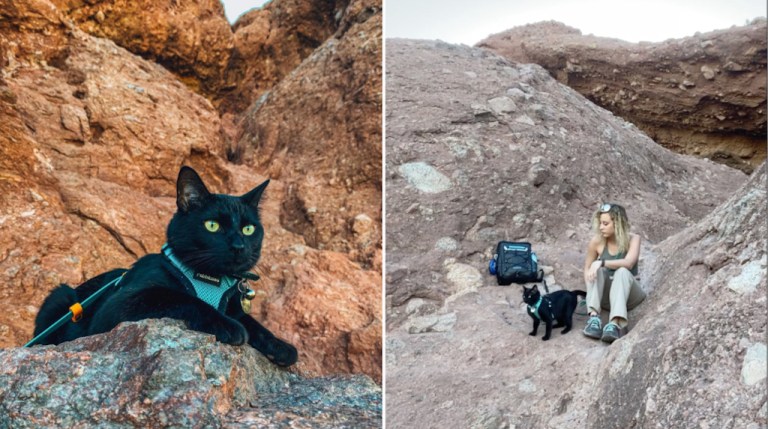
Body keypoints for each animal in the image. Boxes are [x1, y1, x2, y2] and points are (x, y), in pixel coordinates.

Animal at [33, 166, 296, 366]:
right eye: (212, 225)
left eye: (248, 229)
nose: (239, 246)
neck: (211, 279)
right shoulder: (116, 307)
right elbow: (180, 297)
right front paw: (229, 326)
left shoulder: (234, 306)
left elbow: (253, 322)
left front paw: (279, 345)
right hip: (60, 296)